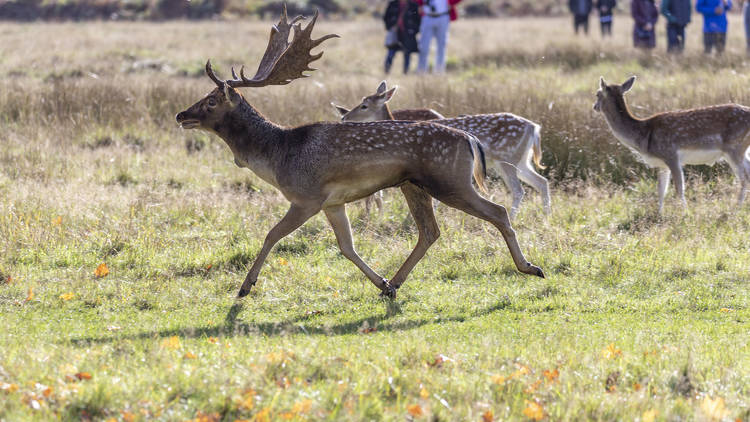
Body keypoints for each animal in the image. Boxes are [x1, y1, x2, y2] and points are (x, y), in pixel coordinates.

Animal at [334, 81, 552, 219]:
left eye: (364, 105)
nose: (344, 117)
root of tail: (534, 127)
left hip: (507, 158)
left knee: (519, 190)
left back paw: (515, 218)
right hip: (521, 159)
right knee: (542, 181)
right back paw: (546, 217)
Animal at [596, 76, 748, 213]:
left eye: (597, 94)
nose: (594, 106)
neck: (644, 135)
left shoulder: (671, 155)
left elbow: (679, 188)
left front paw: (685, 213)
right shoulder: (662, 163)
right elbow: (661, 190)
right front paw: (659, 214)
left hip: (734, 147)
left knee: (744, 178)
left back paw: (735, 210)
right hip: (741, 149)